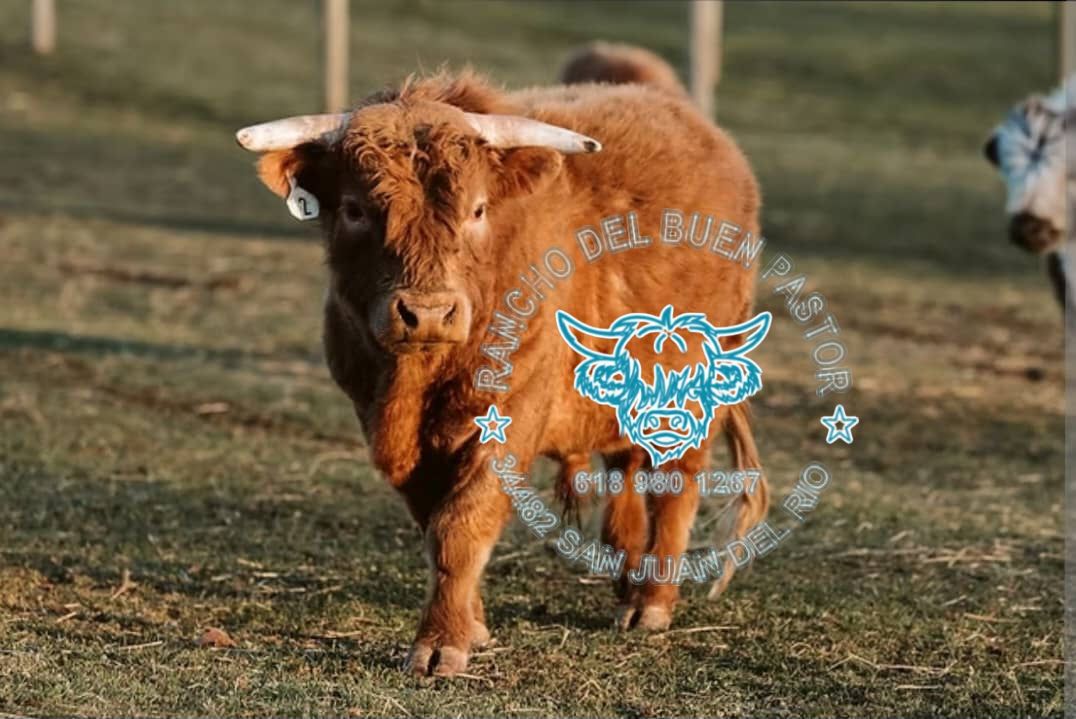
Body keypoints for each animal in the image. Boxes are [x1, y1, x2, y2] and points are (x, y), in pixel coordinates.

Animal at [235, 47, 766, 677]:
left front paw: (442, 643)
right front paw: (472, 624)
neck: (417, 383)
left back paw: (652, 602)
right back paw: (627, 581)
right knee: (627, 471)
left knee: (676, 486)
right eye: (355, 209)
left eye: (478, 209)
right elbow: (435, 523)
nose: (427, 312)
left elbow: (463, 525)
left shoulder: (508, 415)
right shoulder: (388, 431)